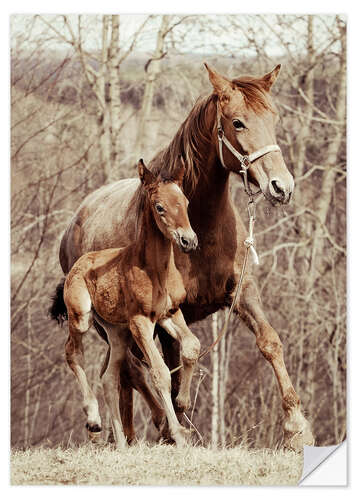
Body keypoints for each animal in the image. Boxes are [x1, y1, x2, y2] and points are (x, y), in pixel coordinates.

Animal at [58, 161, 199, 450]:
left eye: (185, 201)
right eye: (159, 206)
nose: (188, 241)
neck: (155, 270)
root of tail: (78, 263)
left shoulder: (169, 314)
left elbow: (192, 346)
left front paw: (183, 402)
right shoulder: (140, 321)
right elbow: (160, 373)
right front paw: (178, 434)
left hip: (117, 332)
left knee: (110, 377)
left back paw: (122, 442)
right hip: (82, 318)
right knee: (72, 352)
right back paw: (93, 420)